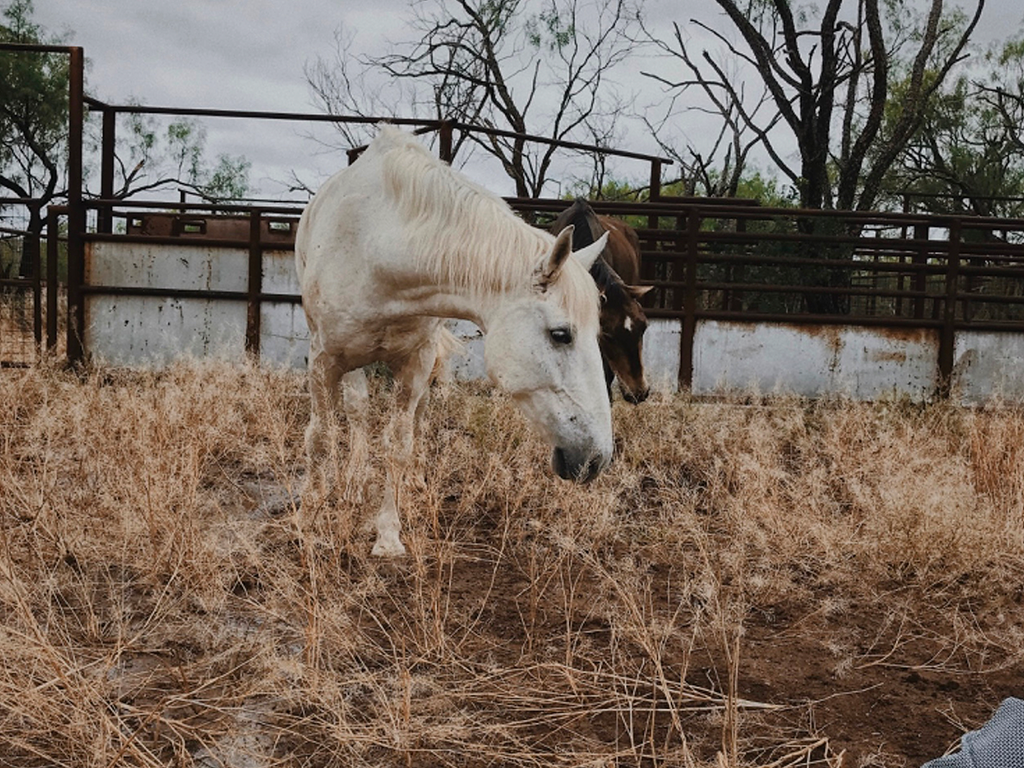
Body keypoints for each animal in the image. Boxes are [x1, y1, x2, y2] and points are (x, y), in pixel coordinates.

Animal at [295, 127, 614, 556]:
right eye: (561, 334)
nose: (596, 459)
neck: (377, 245)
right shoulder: (324, 359)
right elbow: (320, 438)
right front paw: (308, 523)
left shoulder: (416, 361)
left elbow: (399, 443)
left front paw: (388, 536)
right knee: (356, 410)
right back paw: (355, 482)